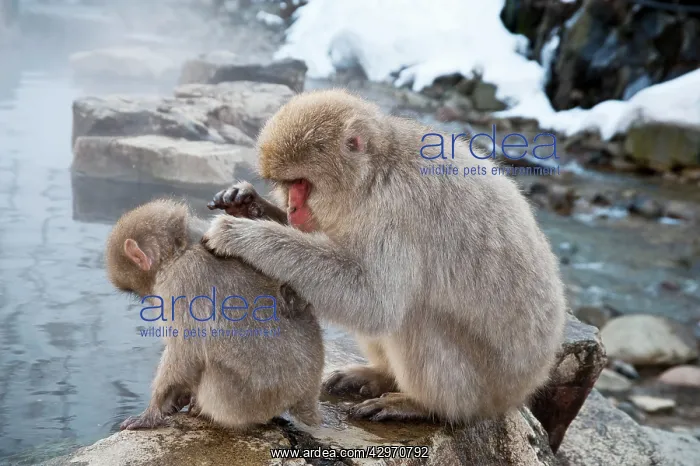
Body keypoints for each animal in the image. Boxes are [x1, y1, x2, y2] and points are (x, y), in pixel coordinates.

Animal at [105, 199, 324, 430]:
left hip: (242, 400)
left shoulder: (181, 282)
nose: (150, 299)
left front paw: (152, 411)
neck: (182, 250)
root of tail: (307, 394)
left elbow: (185, 351)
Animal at [200, 88, 567, 424]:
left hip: (480, 388)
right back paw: (381, 375)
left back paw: (421, 405)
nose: (292, 207)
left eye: (301, 183)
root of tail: (525, 387)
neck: (376, 171)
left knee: (413, 317)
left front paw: (243, 235)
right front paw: (247, 204)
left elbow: (375, 300)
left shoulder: (397, 207)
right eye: (287, 184)